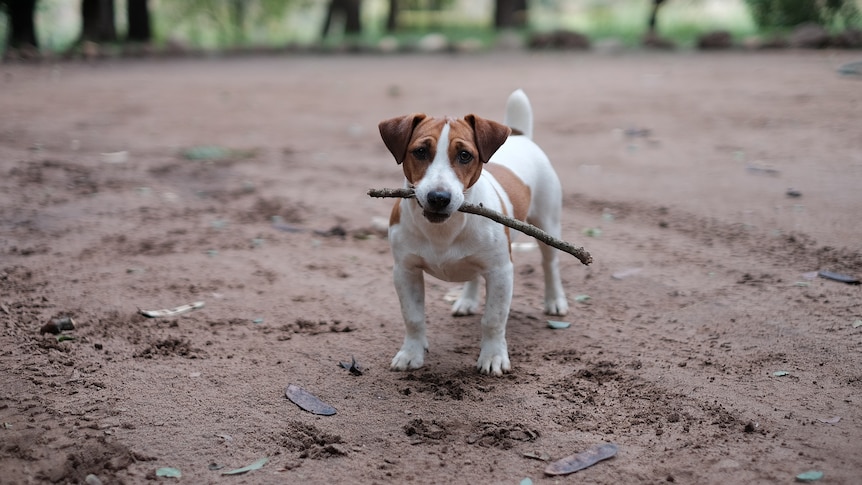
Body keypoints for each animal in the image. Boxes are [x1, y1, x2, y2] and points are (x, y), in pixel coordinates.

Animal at [378, 89, 568, 376]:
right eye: (420, 151)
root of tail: (519, 135)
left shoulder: (501, 272)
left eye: (465, 155)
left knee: (550, 264)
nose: (438, 198)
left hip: (547, 224)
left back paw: (555, 300)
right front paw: (411, 353)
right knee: (473, 274)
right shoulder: (405, 271)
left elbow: (493, 319)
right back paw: (466, 300)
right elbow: (413, 317)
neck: (443, 230)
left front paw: (493, 357)